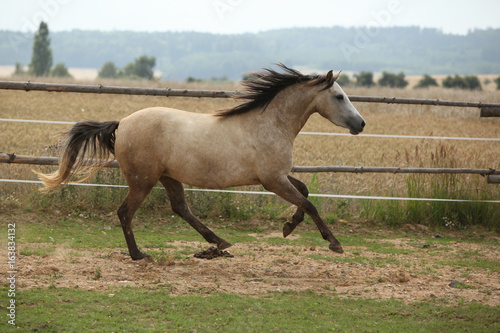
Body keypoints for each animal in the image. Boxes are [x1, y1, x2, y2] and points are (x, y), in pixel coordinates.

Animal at [34, 64, 364, 260]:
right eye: (339, 96)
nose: (360, 124)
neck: (269, 124)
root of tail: (122, 123)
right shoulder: (273, 180)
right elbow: (309, 203)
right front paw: (334, 242)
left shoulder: (276, 176)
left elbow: (305, 192)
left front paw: (288, 227)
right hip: (143, 181)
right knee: (125, 212)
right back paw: (139, 254)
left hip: (168, 177)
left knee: (181, 208)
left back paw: (219, 242)